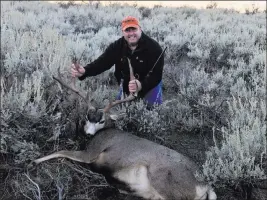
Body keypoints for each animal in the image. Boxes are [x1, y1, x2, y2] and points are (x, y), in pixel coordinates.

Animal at [31, 58, 218, 199]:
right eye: (87, 117)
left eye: (101, 121)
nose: (88, 134)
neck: (103, 133)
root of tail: (205, 185)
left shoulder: (91, 152)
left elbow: (61, 151)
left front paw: (35, 161)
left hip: (163, 181)